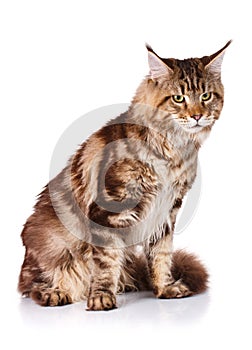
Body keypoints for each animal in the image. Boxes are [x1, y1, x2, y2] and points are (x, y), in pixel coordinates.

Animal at [17, 41, 230, 312]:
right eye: (178, 98)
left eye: (206, 96)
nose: (197, 116)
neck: (173, 152)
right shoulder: (110, 208)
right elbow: (106, 263)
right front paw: (100, 297)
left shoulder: (166, 210)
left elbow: (161, 255)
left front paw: (164, 288)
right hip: (52, 245)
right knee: (31, 284)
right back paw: (54, 293)